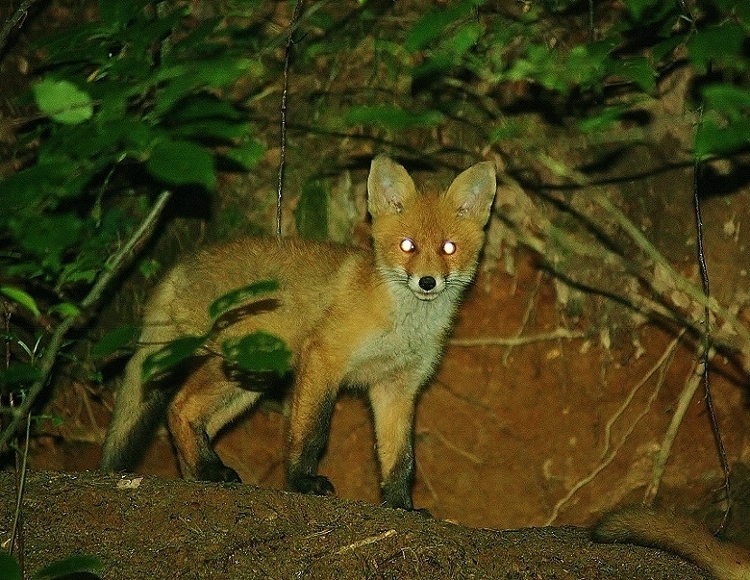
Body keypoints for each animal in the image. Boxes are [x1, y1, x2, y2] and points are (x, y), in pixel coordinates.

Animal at [100, 153, 500, 508]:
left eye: (448, 248)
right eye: (407, 246)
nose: (427, 282)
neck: (403, 324)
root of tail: (181, 264)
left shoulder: (397, 387)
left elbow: (400, 458)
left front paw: (401, 505)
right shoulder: (324, 356)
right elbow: (311, 431)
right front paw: (302, 482)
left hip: (251, 382)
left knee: (196, 421)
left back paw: (202, 474)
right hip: (241, 364)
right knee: (178, 407)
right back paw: (209, 470)